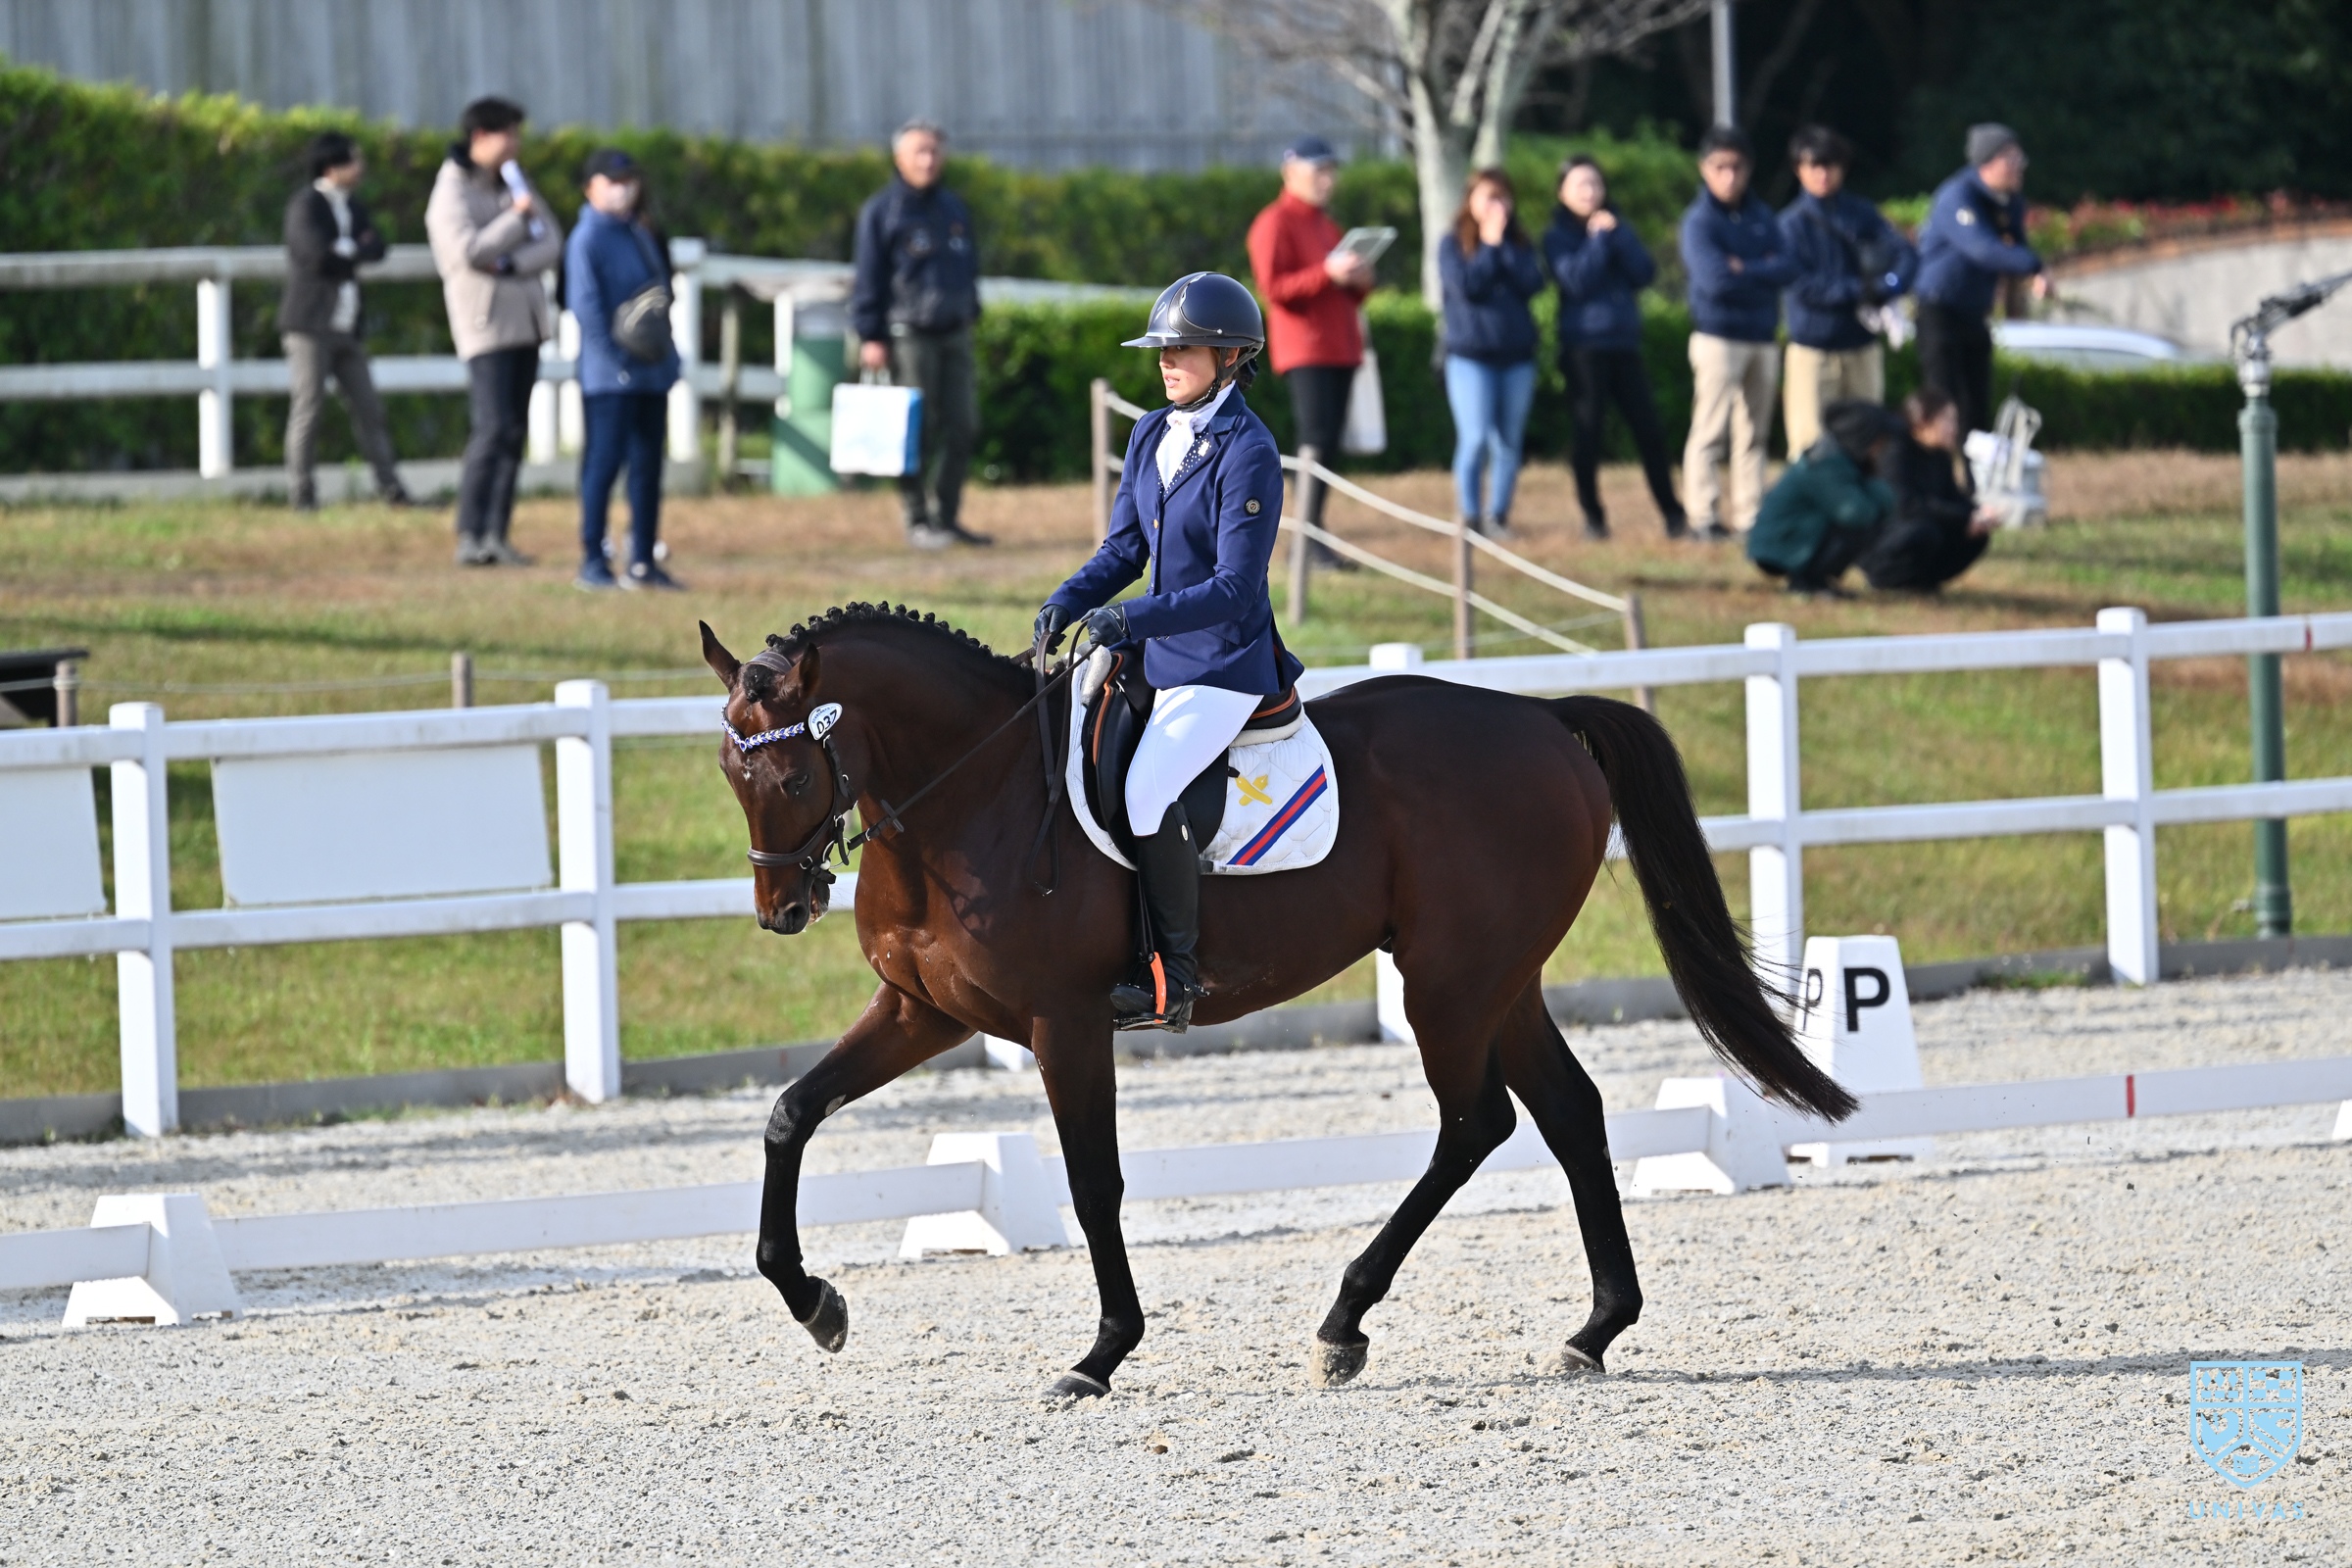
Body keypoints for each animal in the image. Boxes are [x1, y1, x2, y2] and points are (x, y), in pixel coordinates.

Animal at [700, 603, 1854, 1399]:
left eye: (794, 775)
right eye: (728, 770)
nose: (783, 909)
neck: (975, 795)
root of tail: (1541, 719)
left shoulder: (1063, 1025)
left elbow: (1094, 1185)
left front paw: (1101, 1353)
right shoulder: (921, 1012)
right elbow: (790, 1114)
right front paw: (813, 1302)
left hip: (1449, 983)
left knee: (1475, 1122)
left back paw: (1345, 1322)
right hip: (1499, 981)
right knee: (1569, 1114)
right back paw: (1593, 1329)